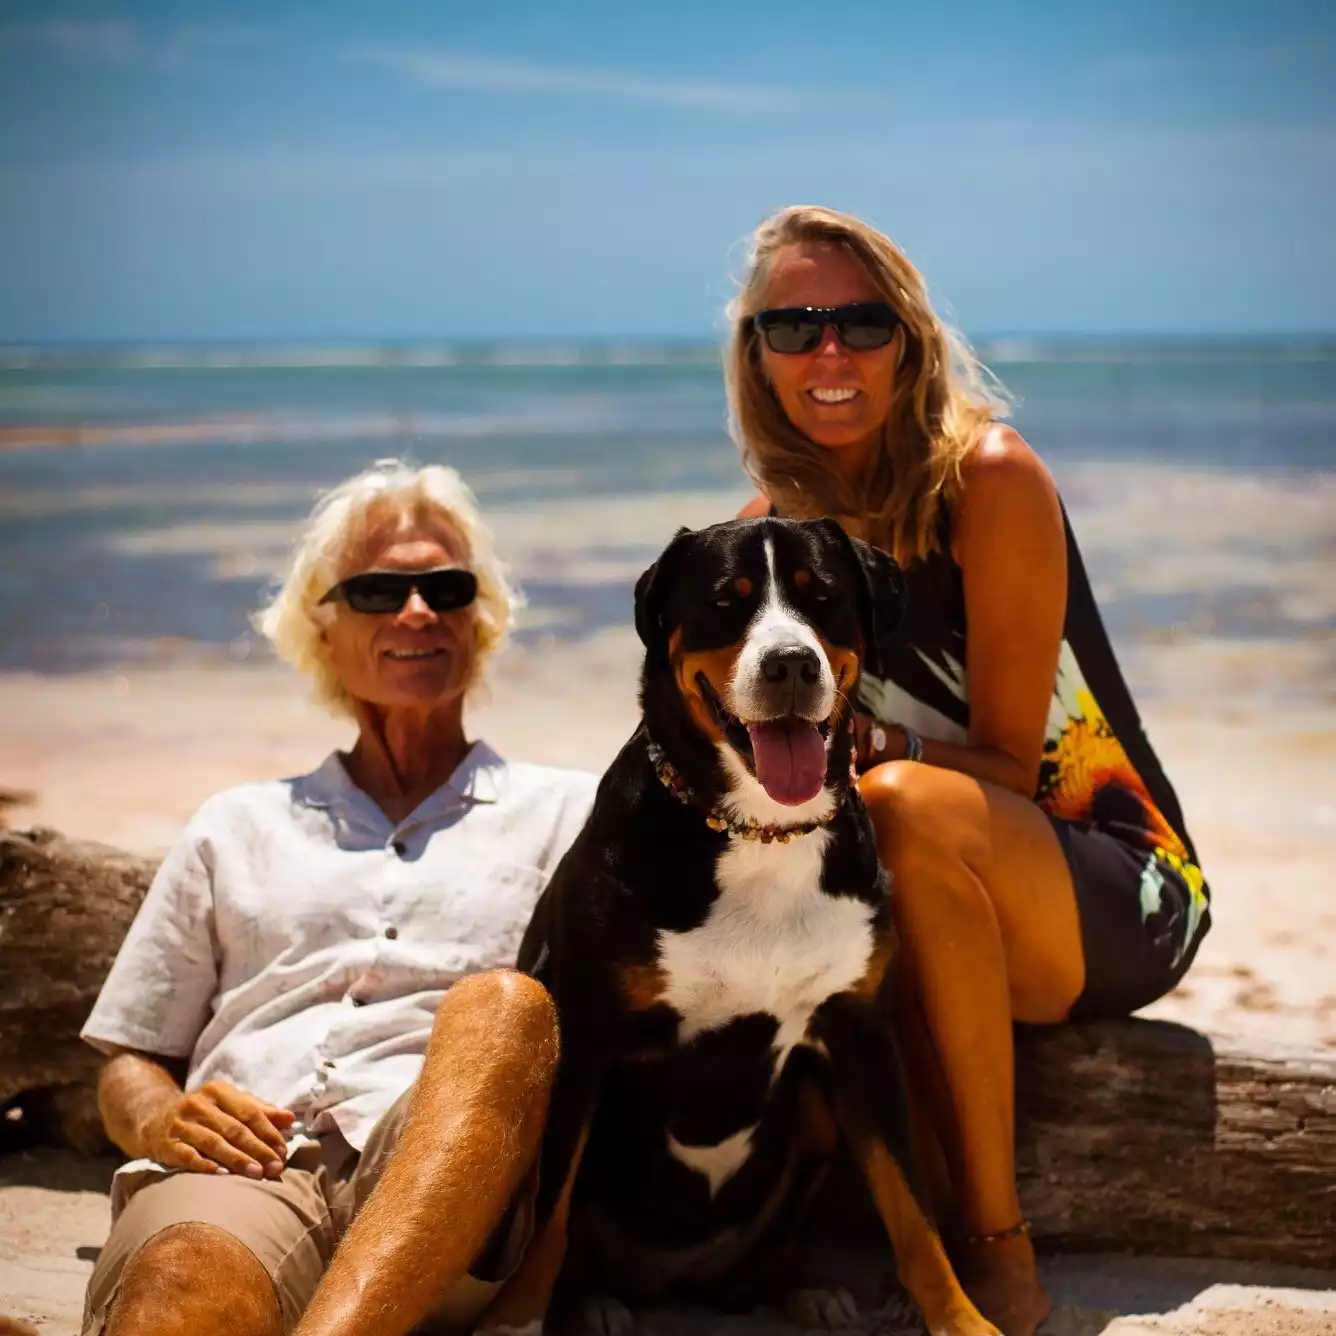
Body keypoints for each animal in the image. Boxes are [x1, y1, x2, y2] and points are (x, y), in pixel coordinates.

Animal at [484, 516, 998, 1336]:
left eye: (822, 595)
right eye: (728, 599)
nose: (791, 663)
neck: (762, 833)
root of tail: (675, 1275)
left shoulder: (859, 1032)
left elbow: (912, 1209)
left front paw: (963, 1320)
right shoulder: (586, 1035)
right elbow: (548, 1211)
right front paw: (516, 1318)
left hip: (813, 1106)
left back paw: (797, 1290)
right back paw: (595, 1303)